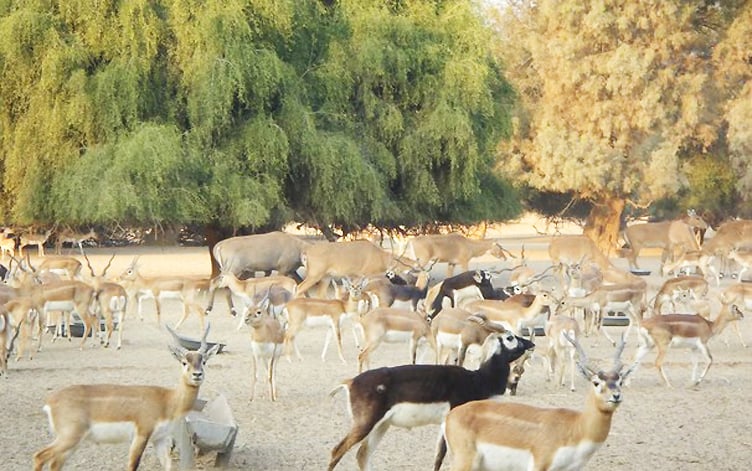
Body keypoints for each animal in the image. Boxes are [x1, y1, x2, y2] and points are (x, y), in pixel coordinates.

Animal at [33, 324, 220, 471]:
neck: (167, 400)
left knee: (54, 463)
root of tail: (50, 401)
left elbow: (168, 466)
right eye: (184, 362)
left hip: (73, 442)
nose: (197, 375)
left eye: (203, 361)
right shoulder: (141, 435)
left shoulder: (159, 439)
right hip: (69, 438)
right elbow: (132, 465)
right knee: (39, 456)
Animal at [328, 332, 536, 471]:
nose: (530, 343)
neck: (477, 379)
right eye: (510, 338)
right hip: (366, 424)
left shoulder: (444, 424)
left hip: (381, 425)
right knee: (337, 451)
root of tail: (351, 382)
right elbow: (441, 456)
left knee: (362, 455)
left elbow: (438, 457)